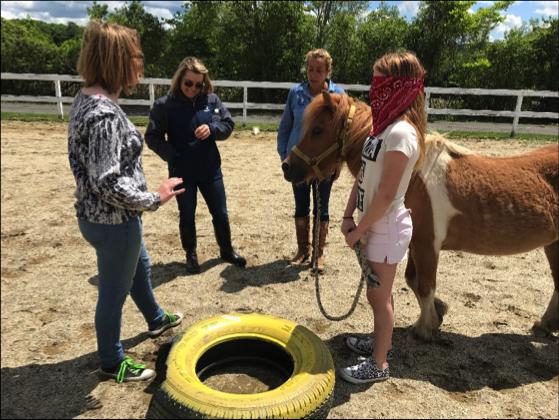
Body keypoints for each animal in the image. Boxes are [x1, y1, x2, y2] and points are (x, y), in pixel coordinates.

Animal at [284, 92, 559, 342]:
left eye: (318, 130)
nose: (287, 167)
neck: (412, 176)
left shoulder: (427, 245)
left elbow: (425, 284)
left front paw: (425, 328)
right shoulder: (414, 244)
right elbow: (413, 280)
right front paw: (439, 312)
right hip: (553, 244)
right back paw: (544, 326)